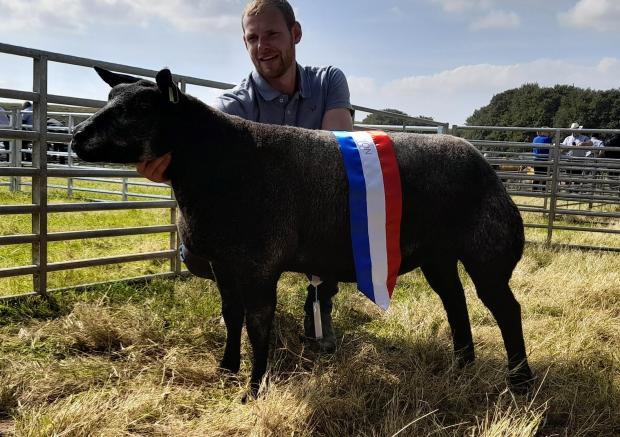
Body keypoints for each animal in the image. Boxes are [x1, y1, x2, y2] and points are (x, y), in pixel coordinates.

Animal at [71, 66, 532, 396]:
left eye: (139, 110)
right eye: (110, 99)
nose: (75, 137)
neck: (217, 163)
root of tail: (485, 165)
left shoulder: (259, 263)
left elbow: (258, 324)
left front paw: (254, 390)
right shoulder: (225, 264)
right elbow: (231, 316)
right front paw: (226, 369)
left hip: (487, 252)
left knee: (506, 309)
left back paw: (520, 380)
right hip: (438, 255)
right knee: (456, 303)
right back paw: (462, 365)